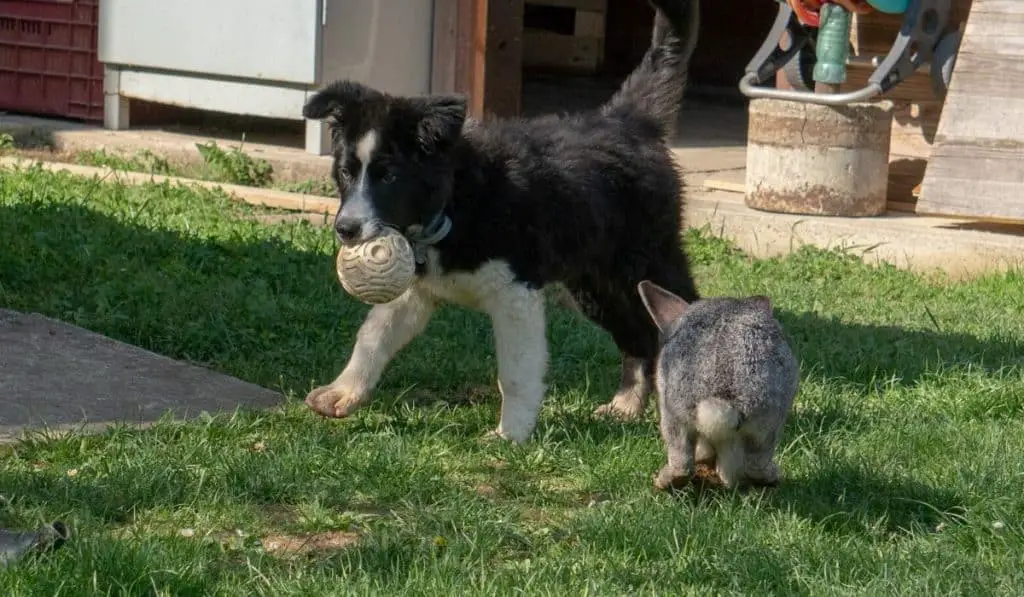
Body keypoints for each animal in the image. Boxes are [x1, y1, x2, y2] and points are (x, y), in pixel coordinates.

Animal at [303, 0, 700, 442]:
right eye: (345, 173)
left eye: (388, 176)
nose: (346, 229)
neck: (455, 203)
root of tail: (629, 121)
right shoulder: (415, 293)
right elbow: (373, 336)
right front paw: (343, 392)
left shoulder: (515, 293)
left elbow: (516, 372)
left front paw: (511, 436)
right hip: (596, 286)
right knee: (638, 337)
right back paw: (626, 406)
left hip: (648, 261)